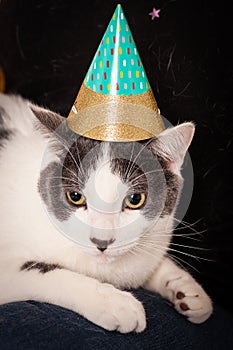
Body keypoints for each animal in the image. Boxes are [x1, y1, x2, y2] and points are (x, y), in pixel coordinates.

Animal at [0, 93, 213, 334]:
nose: (101, 241)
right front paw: (114, 302)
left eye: (134, 200)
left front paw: (186, 288)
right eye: (75, 196)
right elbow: (43, 272)